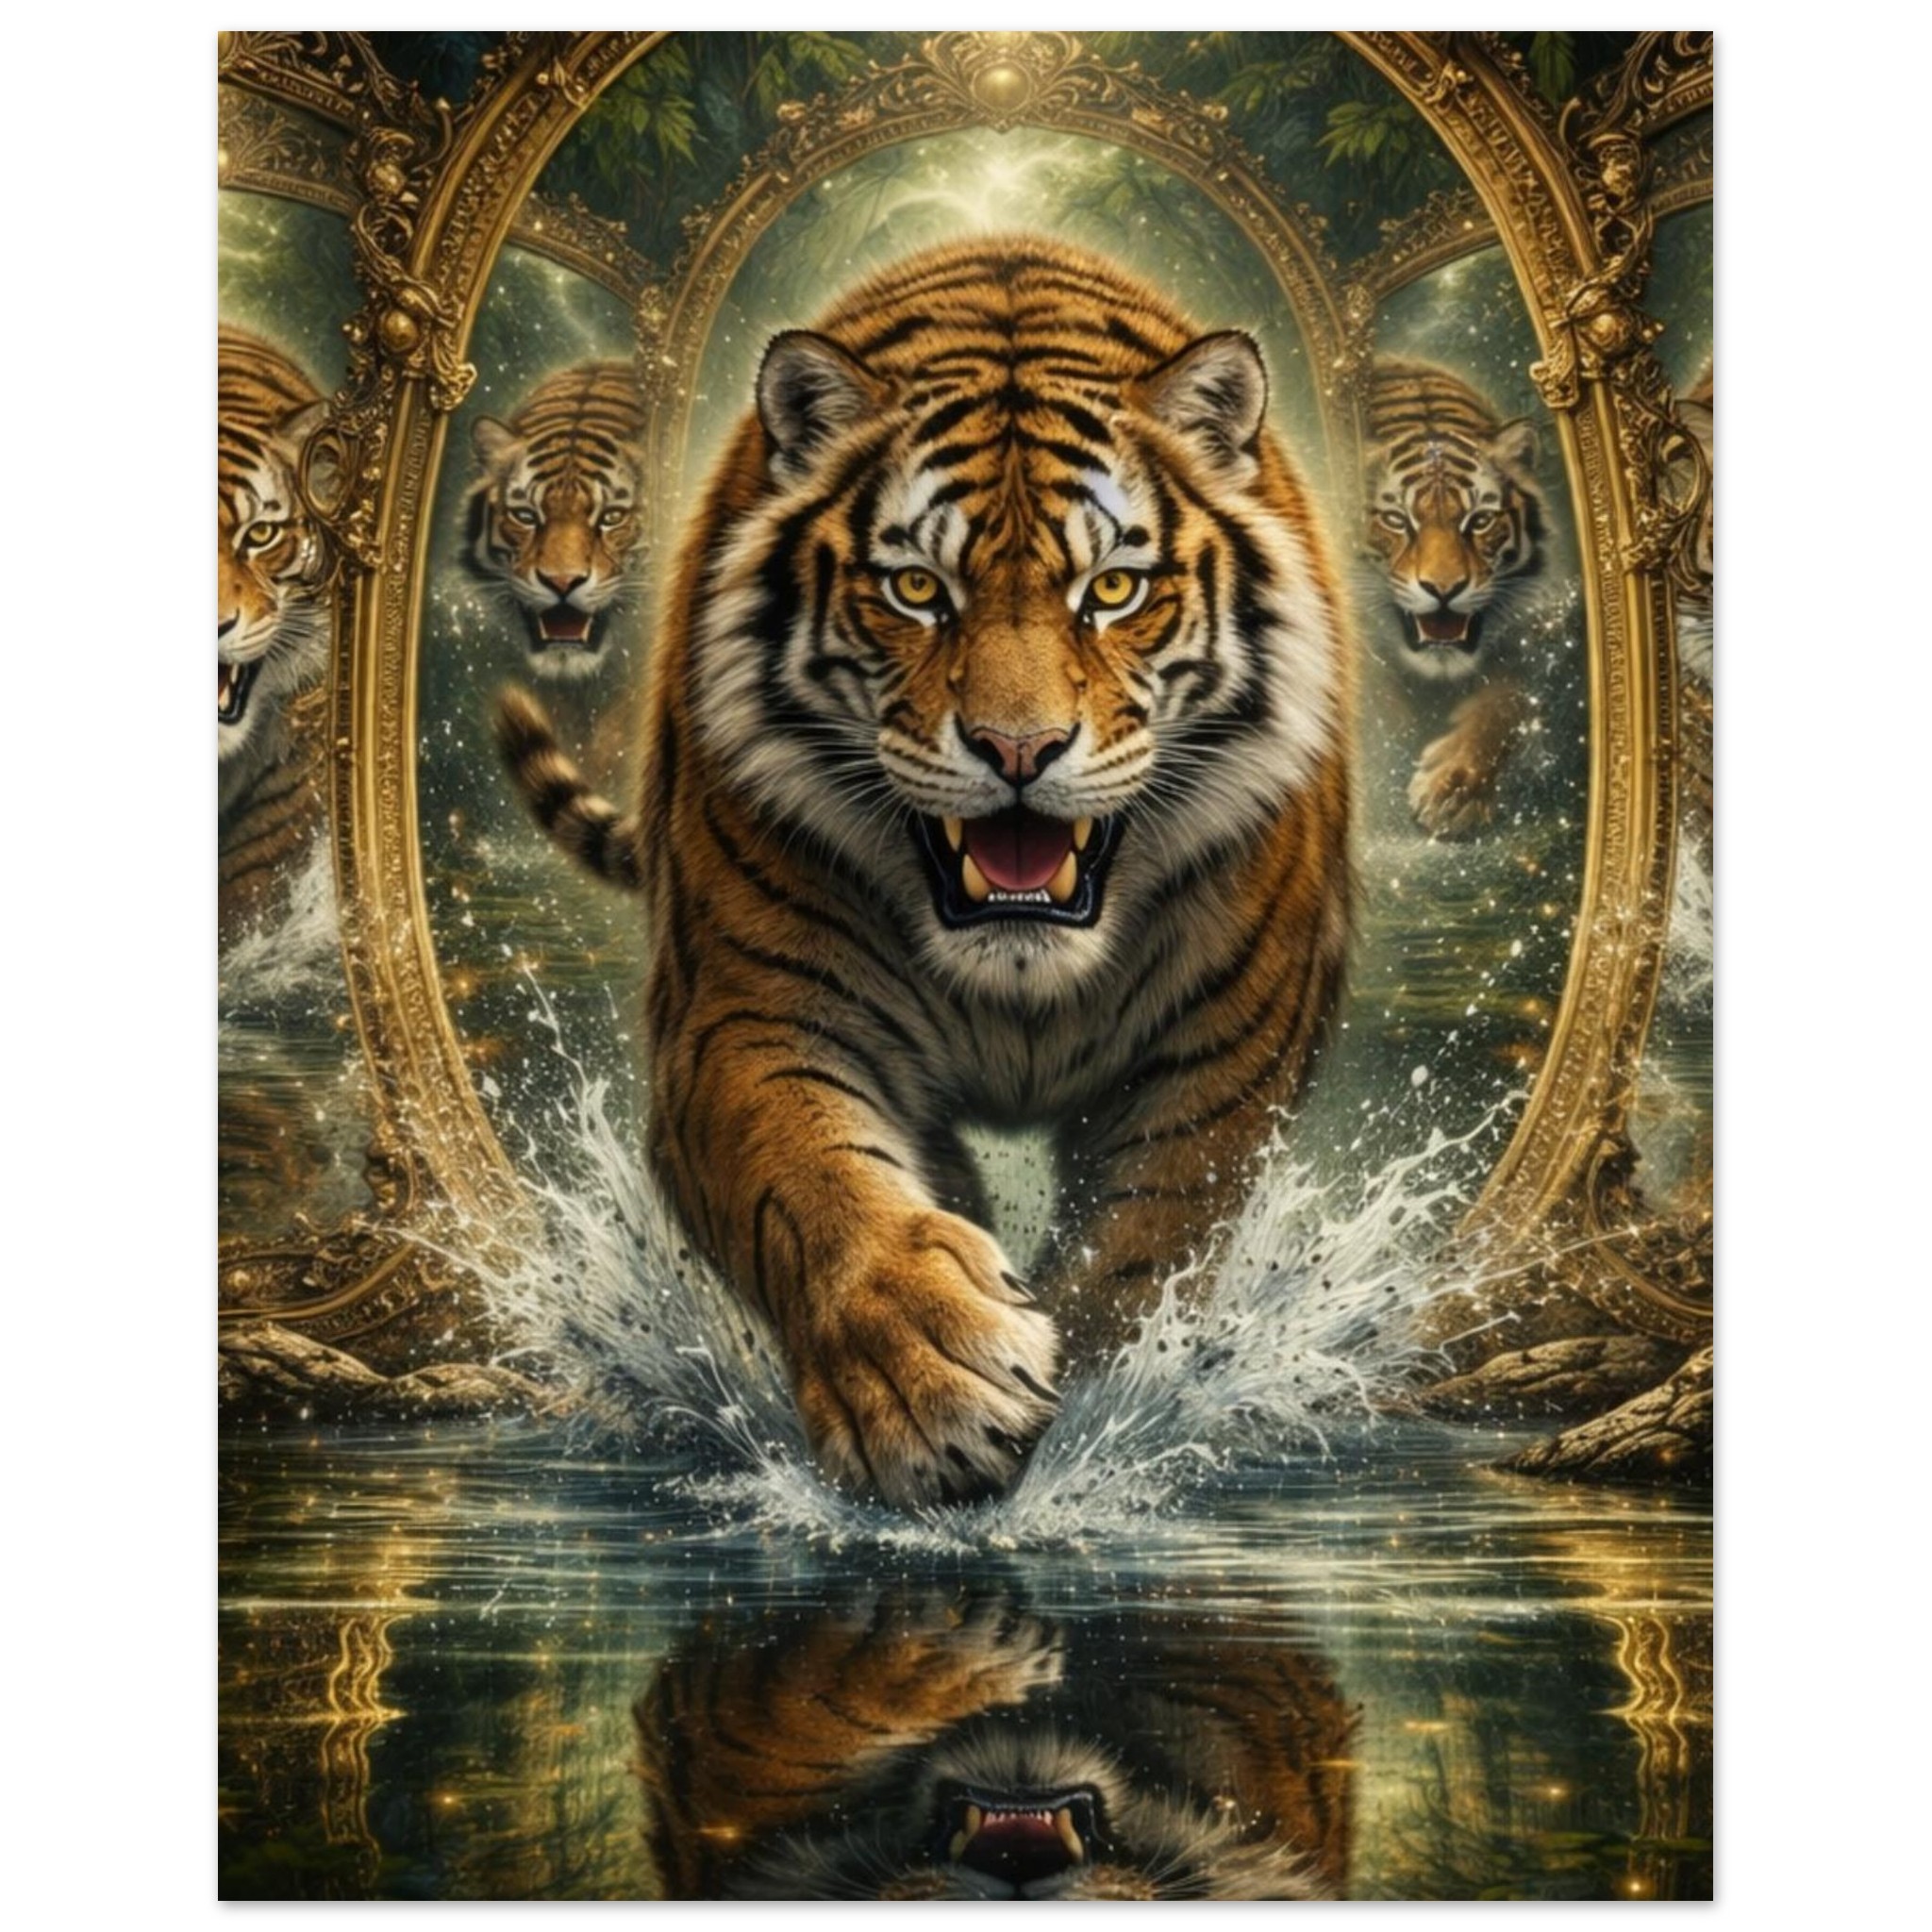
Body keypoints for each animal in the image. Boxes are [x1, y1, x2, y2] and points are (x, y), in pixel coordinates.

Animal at [498, 237, 1353, 1508]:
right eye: (916, 591)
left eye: (1111, 591)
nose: (1016, 749)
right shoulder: (742, 1019)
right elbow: (813, 1179)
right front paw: (927, 1379)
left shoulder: (1221, 1061)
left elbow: (1142, 1245)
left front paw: (1094, 1414)